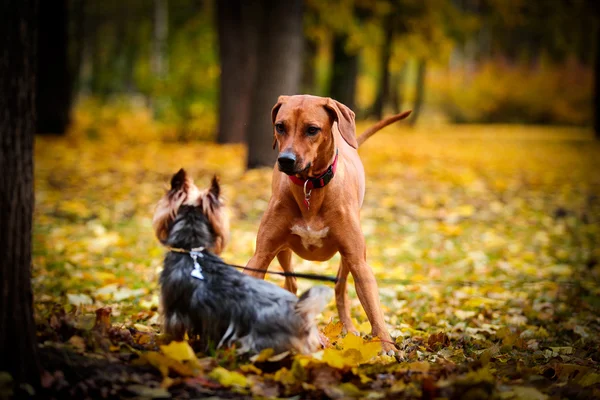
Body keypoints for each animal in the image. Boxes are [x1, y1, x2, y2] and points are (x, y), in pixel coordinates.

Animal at [243, 94, 408, 350]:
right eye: (280, 126)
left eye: (312, 129)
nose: (286, 160)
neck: (309, 187)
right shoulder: (260, 255)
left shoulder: (358, 260)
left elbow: (373, 308)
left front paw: (386, 346)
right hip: (283, 251)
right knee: (291, 283)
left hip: (348, 259)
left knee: (340, 289)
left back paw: (347, 328)